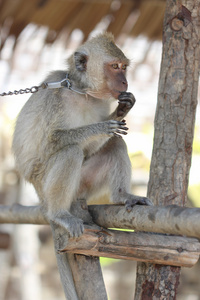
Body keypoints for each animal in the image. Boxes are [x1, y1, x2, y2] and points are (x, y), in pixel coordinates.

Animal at [12, 32, 152, 239]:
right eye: (114, 66)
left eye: (124, 67)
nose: (125, 82)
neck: (81, 91)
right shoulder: (54, 97)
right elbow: (48, 142)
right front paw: (100, 127)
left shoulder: (102, 104)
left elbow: (94, 147)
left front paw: (122, 109)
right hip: (43, 186)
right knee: (71, 152)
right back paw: (59, 214)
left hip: (83, 186)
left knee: (115, 144)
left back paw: (122, 196)